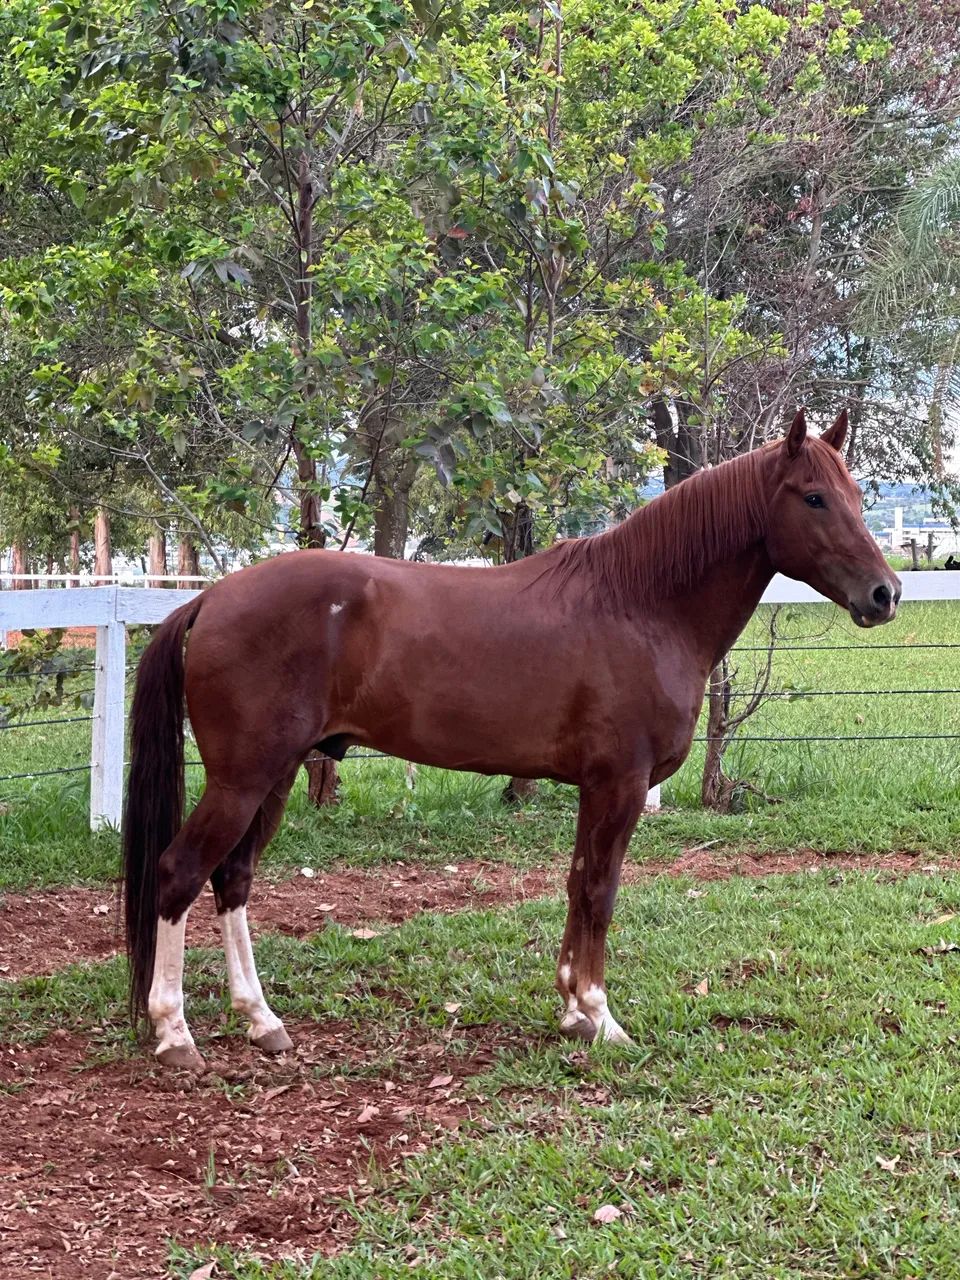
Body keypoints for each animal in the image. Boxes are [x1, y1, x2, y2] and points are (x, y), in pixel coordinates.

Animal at [123, 407, 900, 1069]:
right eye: (813, 498)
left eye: (857, 495)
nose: (885, 594)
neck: (641, 605)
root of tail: (211, 598)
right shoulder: (618, 784)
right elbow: (599, 891)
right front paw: (600, 1018)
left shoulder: (598, 788)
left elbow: (578, 884)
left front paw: (573, 1012)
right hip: (243, 778)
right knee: (179, 873)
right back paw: (174, 1033)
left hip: (277, 774)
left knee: (232, 879)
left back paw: (262, 1021)